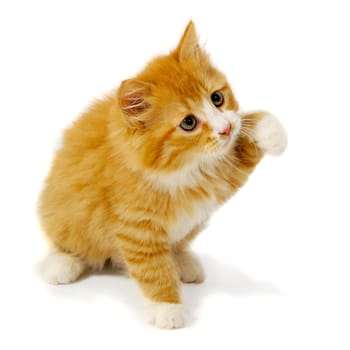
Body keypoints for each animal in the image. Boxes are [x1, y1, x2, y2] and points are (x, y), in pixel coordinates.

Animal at [38, 21, 288, 328]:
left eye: (217, 98)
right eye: (188, 123)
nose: (225, 129)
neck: (186, 170)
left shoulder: (223, 175)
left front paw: (270, 130)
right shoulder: (136, 228)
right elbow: (152, 268)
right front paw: (167, 307)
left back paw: (183, 261)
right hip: (64, 215)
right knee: (62, 241)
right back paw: (62, 263)